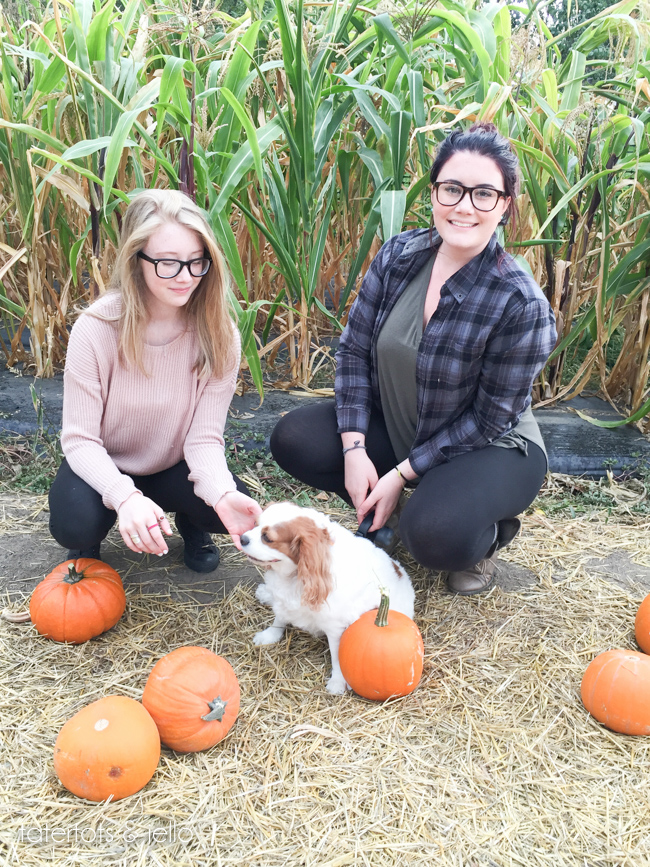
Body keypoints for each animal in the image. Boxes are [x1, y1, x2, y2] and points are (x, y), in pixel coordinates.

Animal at [239, 502, 416, 692]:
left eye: (267, 538)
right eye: (255, 524)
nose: (242, 538)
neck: (296, 575)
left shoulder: (335, 628)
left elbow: (337, 656)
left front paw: (338, 681)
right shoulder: (284, 601)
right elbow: (278, 619)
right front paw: (269, 635)